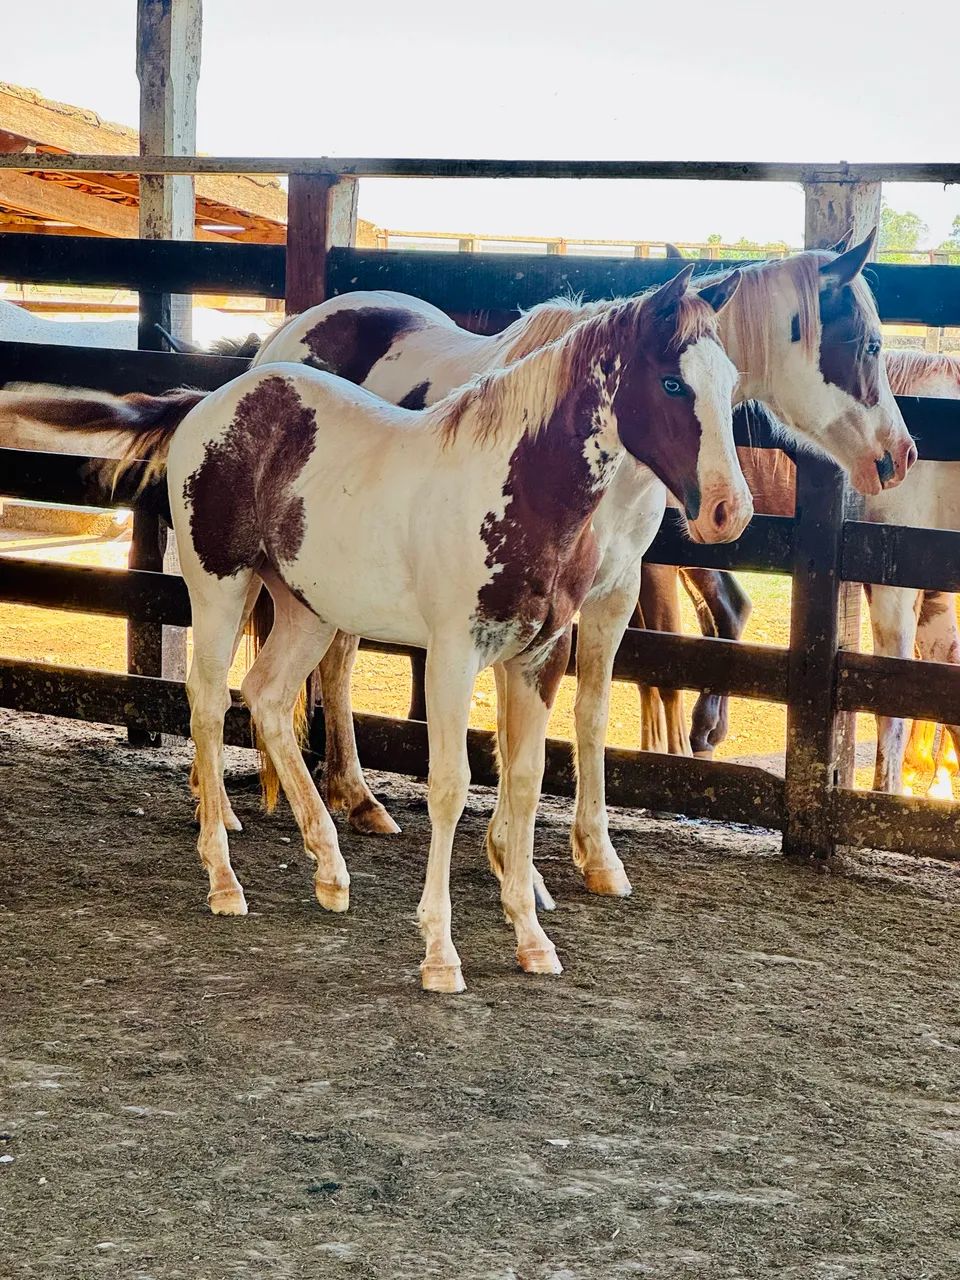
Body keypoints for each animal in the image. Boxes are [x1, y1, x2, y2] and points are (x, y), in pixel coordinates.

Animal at [0, 270, 750, 992]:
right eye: (673, 381)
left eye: (732, 382)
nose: (728, 510)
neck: (517, 492)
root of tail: (217, 400)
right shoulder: (453, 655)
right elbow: (450, 787)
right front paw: (441, 956)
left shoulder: (538, 657)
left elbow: (526, 781)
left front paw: (532, 940)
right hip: (221, 589)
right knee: (209, 704)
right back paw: (223, 877)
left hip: (306, 609)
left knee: (267, 697)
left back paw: (330, 869)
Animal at [242, 231, 915, 903]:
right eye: (871, 344)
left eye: (728, 382)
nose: (900, 455)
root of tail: (284, 339)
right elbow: (514, 730)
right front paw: (516, 862)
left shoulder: (611, 595)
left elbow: (588, 716)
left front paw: (595, 855)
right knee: (332, 666)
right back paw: (339, 800)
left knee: (335, 661)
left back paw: (354, 799)